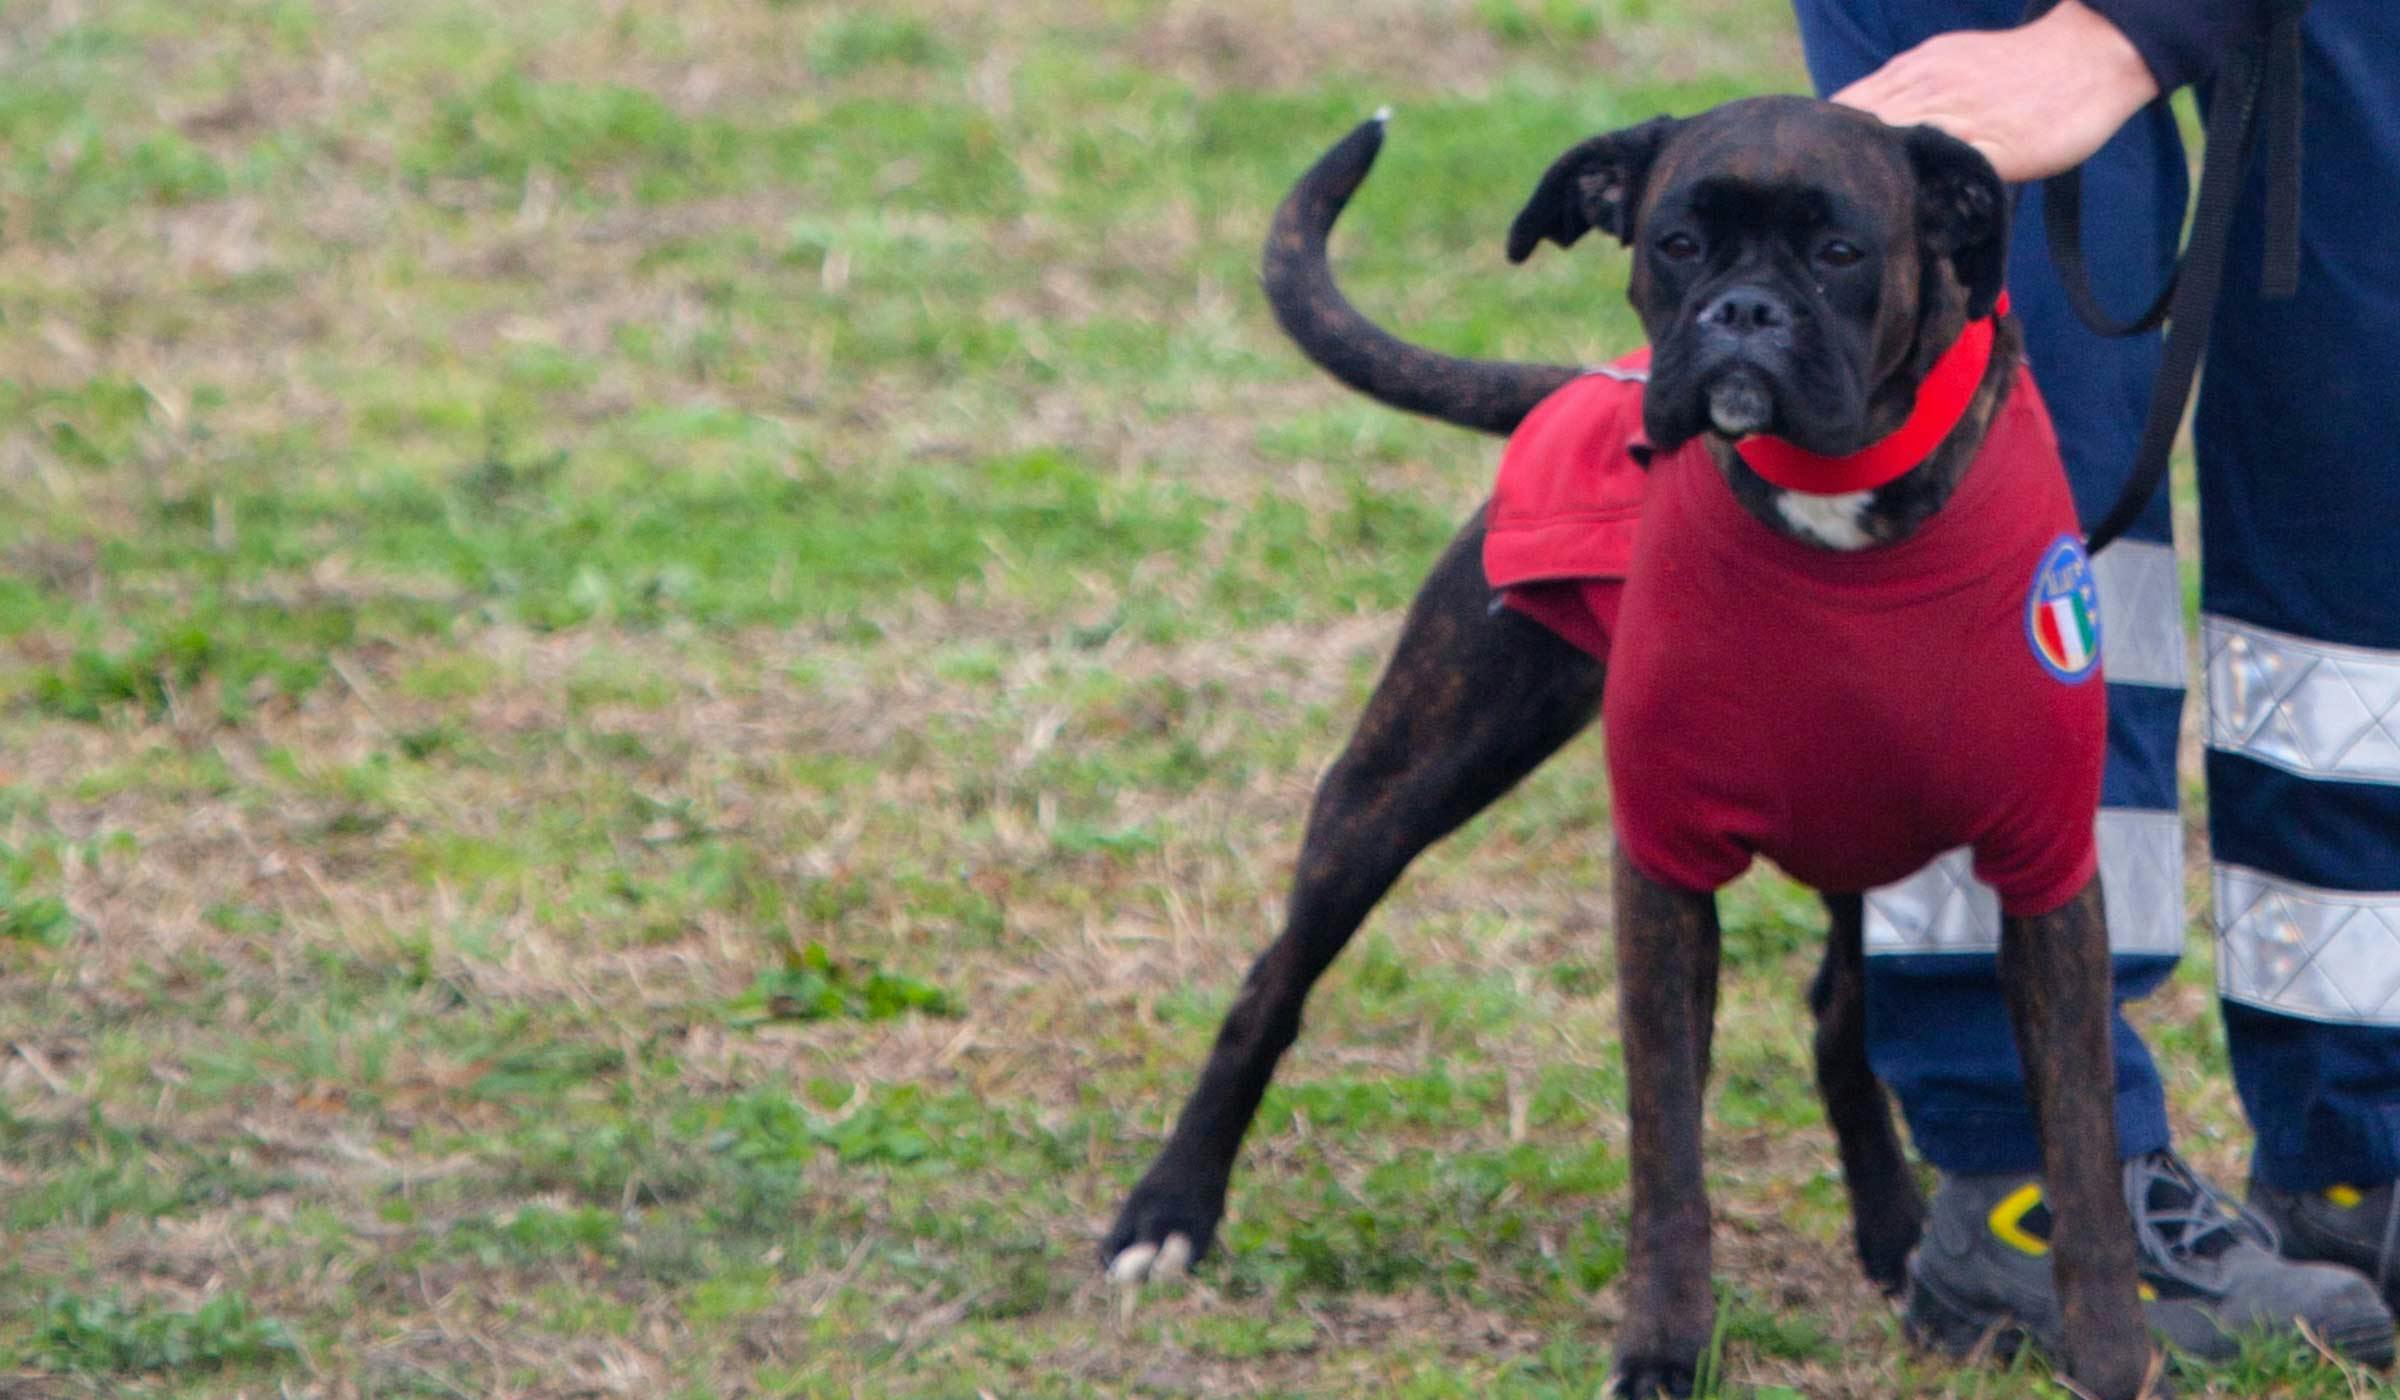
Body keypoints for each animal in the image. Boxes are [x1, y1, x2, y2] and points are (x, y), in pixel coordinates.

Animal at [1099, 101, 2150, 1400]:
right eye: (1677, 242)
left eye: (1841, 252)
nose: (1741, 313)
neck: (1837, 509)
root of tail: (1585, 387)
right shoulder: (1662, 872)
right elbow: (1667, 1149)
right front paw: (1664, 1345)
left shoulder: (2045, 874)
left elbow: (2084, 1144)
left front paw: (2111, 1358)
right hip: (1397, 787)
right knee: (1270, 983)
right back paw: (1168, 1211)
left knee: (1838, 1018)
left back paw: (1895, 1232)